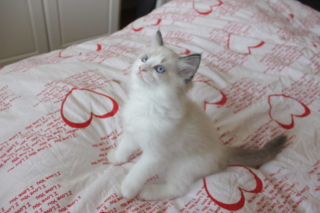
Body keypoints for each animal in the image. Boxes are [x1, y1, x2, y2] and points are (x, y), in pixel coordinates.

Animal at [106, 30, 286, 201]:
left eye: (159, 69)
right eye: (145, 59)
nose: (141, 68)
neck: (146, 101)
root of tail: (220, 151)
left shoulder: (155, 155)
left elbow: (137, 171)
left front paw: (127, 189)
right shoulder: (132, 133)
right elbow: (124, 149)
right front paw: (115, 158)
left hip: (181, 166)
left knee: (177, 189)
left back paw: (148, 192)